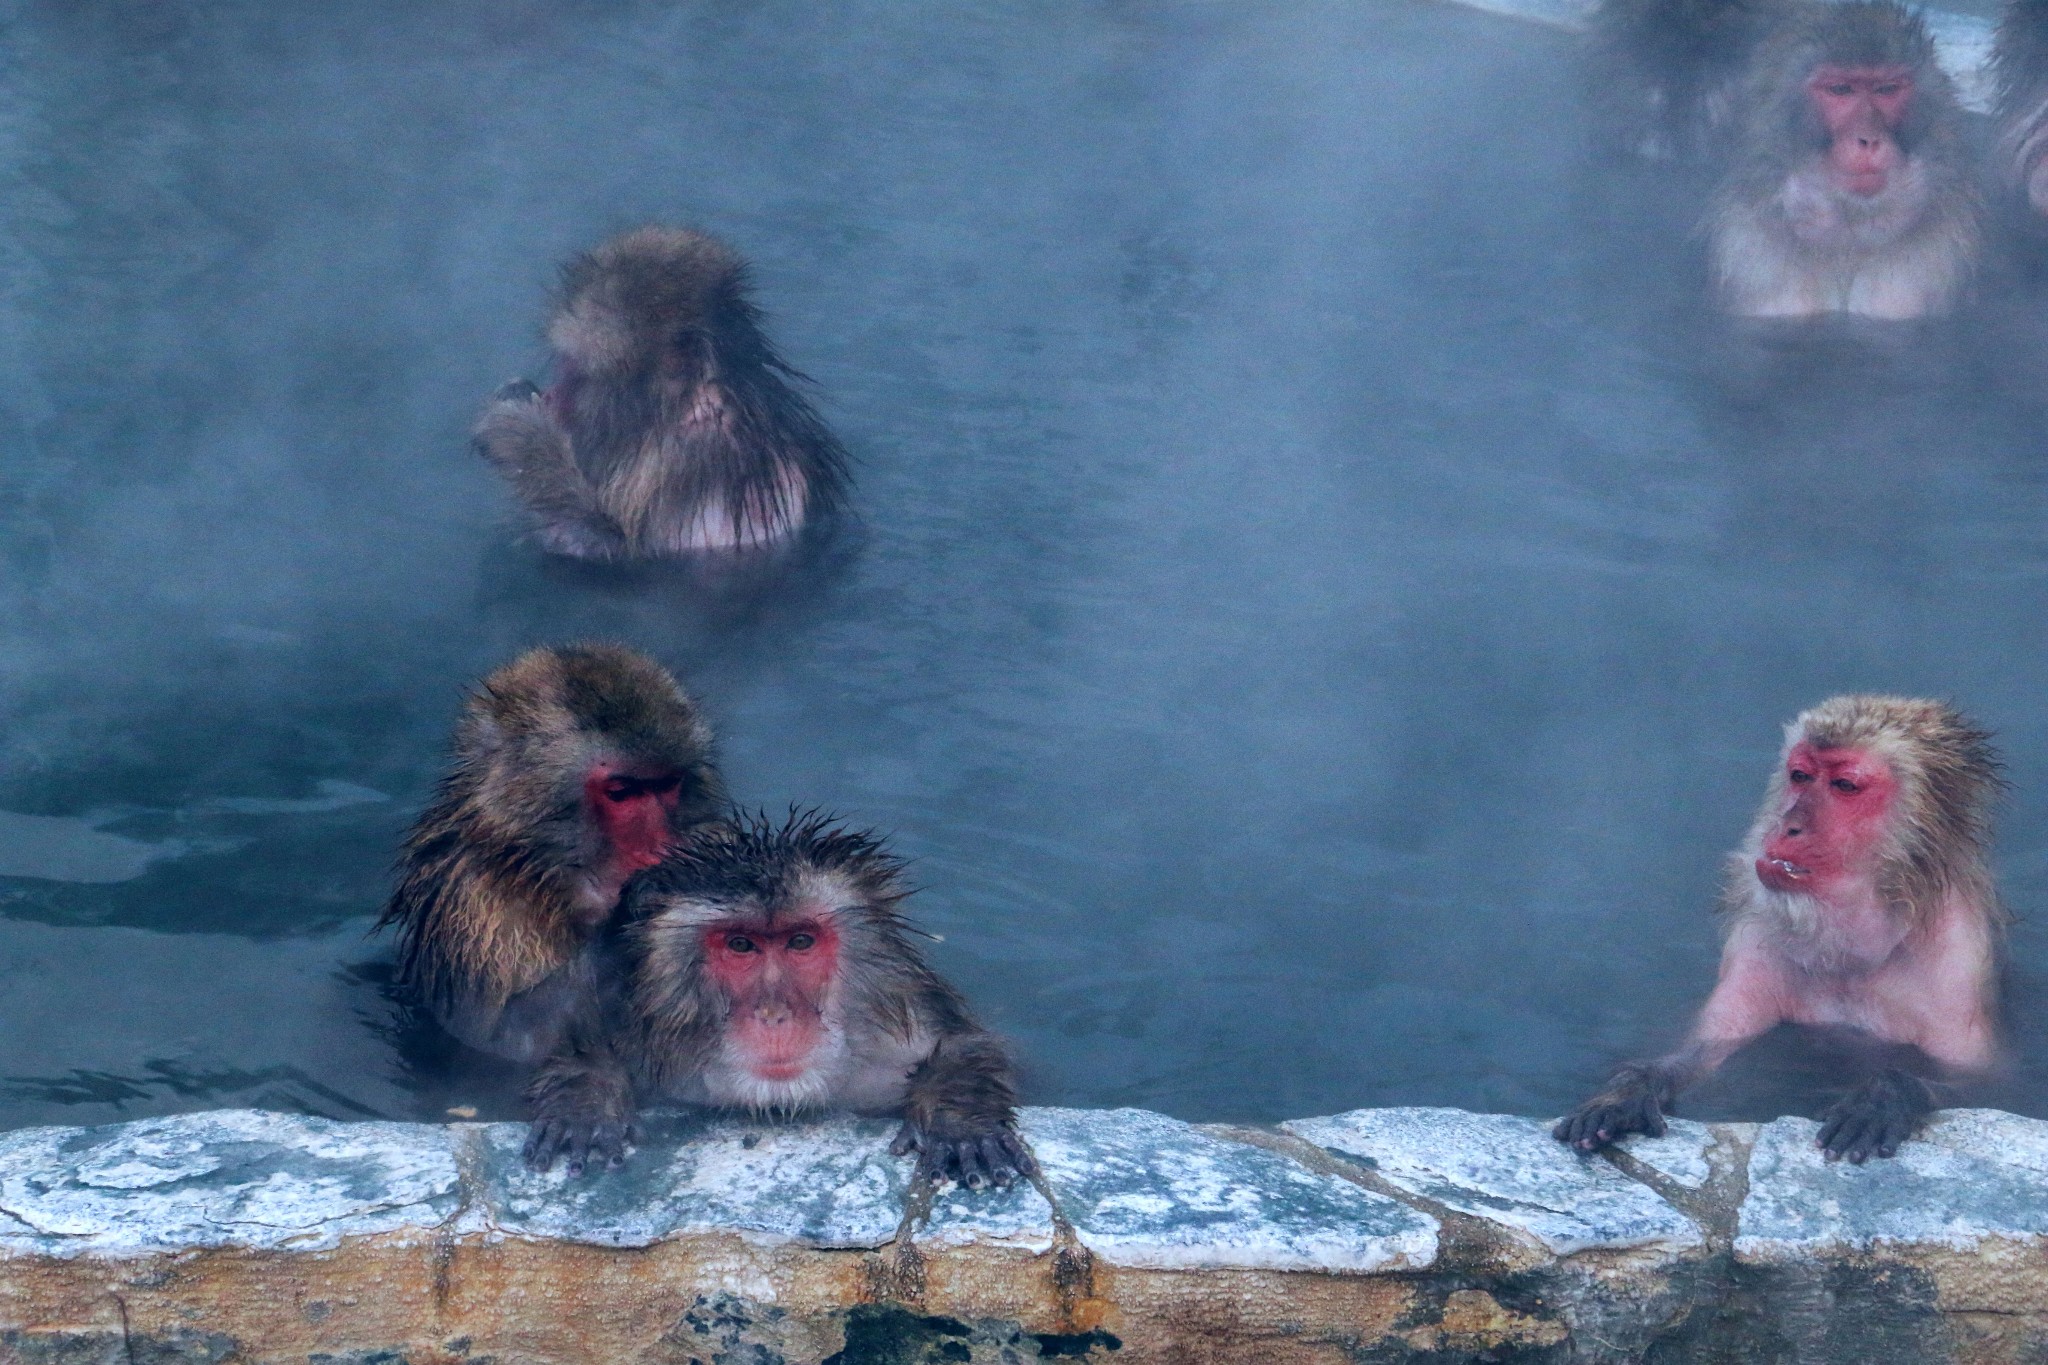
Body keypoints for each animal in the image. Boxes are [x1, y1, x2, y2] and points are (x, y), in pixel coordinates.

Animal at [378, 650, 729, 1064]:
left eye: (668, 784)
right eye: (622, 792)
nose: (660, 847)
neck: (542, 874)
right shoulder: (479, 905)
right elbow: (504, 1034)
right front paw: (645, 898)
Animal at [471, 227, 847, 556]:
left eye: (576, 374)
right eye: (563, 365)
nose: (552, 396)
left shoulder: (695, 457)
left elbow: (615, 545)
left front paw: (518, 433)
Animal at [520, 806, 1032, 1186]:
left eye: (800, 942)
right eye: (741, 945)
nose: (773, 1013)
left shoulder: (894, 1040)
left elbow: (963, 1045)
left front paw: (959, 1119)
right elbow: (581, 1048)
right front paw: (586, 1102)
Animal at [1556, 695, 2007, 1162]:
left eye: (1845, 785)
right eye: (1801, 776)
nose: (1787, 826)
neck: (1859, 947)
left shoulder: (1956, 959)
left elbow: (1989, 1085)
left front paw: (1885, 1094)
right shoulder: (1756, 939)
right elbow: (1708, 1046)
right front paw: (1629, 1090)